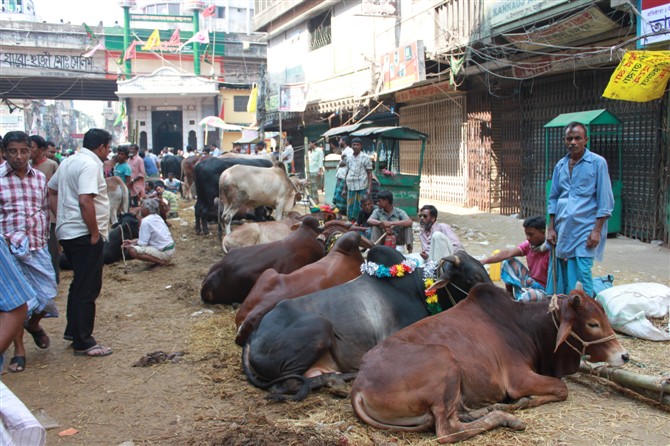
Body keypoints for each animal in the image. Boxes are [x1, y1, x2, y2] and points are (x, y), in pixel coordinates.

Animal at [244, 247, 490, 400]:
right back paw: (339, 379)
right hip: (319, 327)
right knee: (286, 384)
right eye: (474, 277)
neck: (419, 290)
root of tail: (253, 336)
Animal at [352, 282, 632, 442]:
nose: (624, 356)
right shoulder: (518, 379)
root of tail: (359, 386)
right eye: (592, 323)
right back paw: (504, 417)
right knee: (448, 430)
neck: (527, 327)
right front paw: (524, 402)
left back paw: (489, 409)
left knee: (456, 415)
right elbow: (561, 388)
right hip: (445, 361)